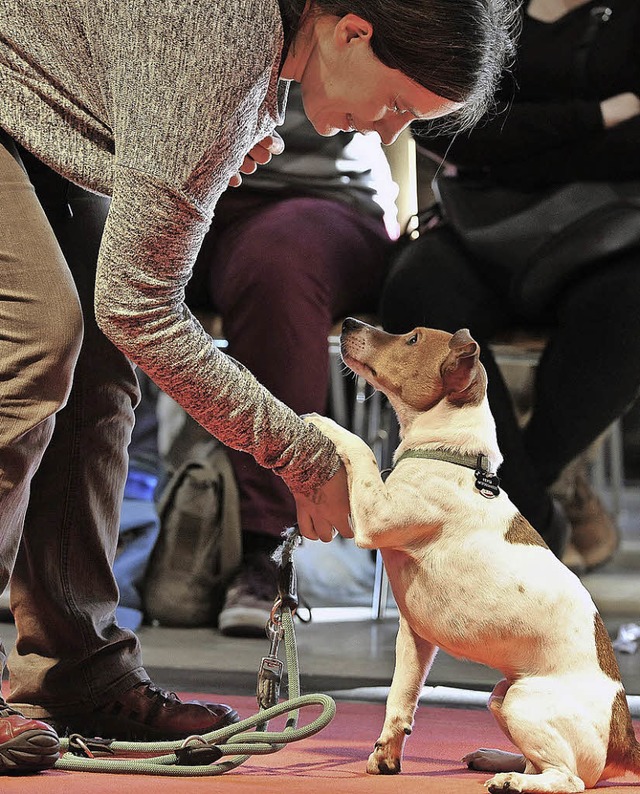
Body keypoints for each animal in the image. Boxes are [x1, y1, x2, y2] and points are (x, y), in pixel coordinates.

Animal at [306, 318, 640, 792]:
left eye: (411, 338)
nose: (350, 322)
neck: (450, 456)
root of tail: (623, 738)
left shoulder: (373, 517)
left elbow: (363, 449)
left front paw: (325, 422)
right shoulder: (415, 637)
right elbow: (400, 698)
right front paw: (386, 757)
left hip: (522, 701)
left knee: (567, 779)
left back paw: (512, 780)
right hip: (501, 697)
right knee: (542, 764)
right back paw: (495, 759)